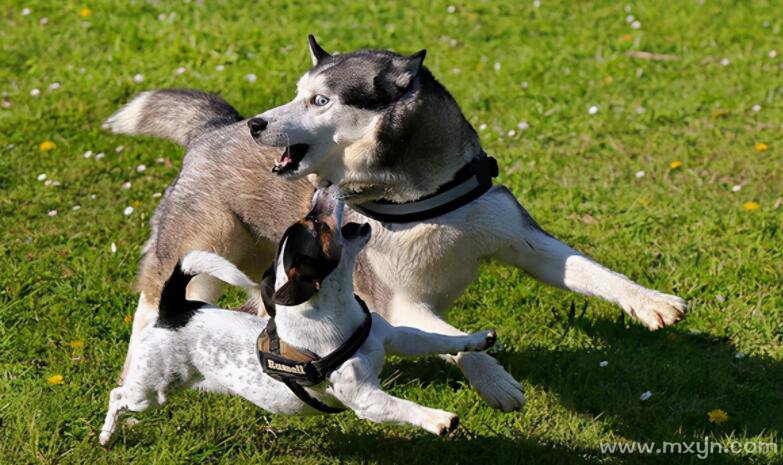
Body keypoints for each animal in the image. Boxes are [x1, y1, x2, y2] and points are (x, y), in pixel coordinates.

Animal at [105, 37, 688, 414]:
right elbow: (450, 338)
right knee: (154, 307)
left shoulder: (521, 239)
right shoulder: (397, 300)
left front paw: (649, 301)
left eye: (320, 100)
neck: (422, 198)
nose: (258, 124)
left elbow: (587, 270)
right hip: (196, 253)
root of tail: (214, 127)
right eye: (297, 93)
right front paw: (494, 379)